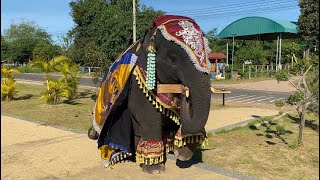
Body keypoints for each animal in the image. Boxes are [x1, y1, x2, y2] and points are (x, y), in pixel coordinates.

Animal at [89, 15, 211, 174]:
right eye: (173, 59)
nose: (185, 91)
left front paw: (183, 155)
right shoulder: (139, 83)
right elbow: (148, 116)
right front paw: (155, 169)